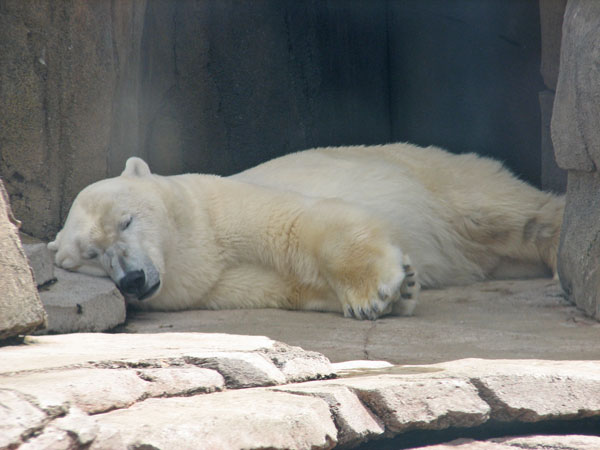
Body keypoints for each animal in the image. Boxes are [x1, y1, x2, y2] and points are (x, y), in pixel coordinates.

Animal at [49, 144, 564, 320]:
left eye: (126, 220)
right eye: (90, 255)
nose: (133, 280)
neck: (198, 248)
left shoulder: (220, 209)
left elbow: (301, 223)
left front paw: (374, 293)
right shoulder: (215, 284)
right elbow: (285, 287)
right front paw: (402, 290)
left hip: (436, 179)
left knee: (506, 212)